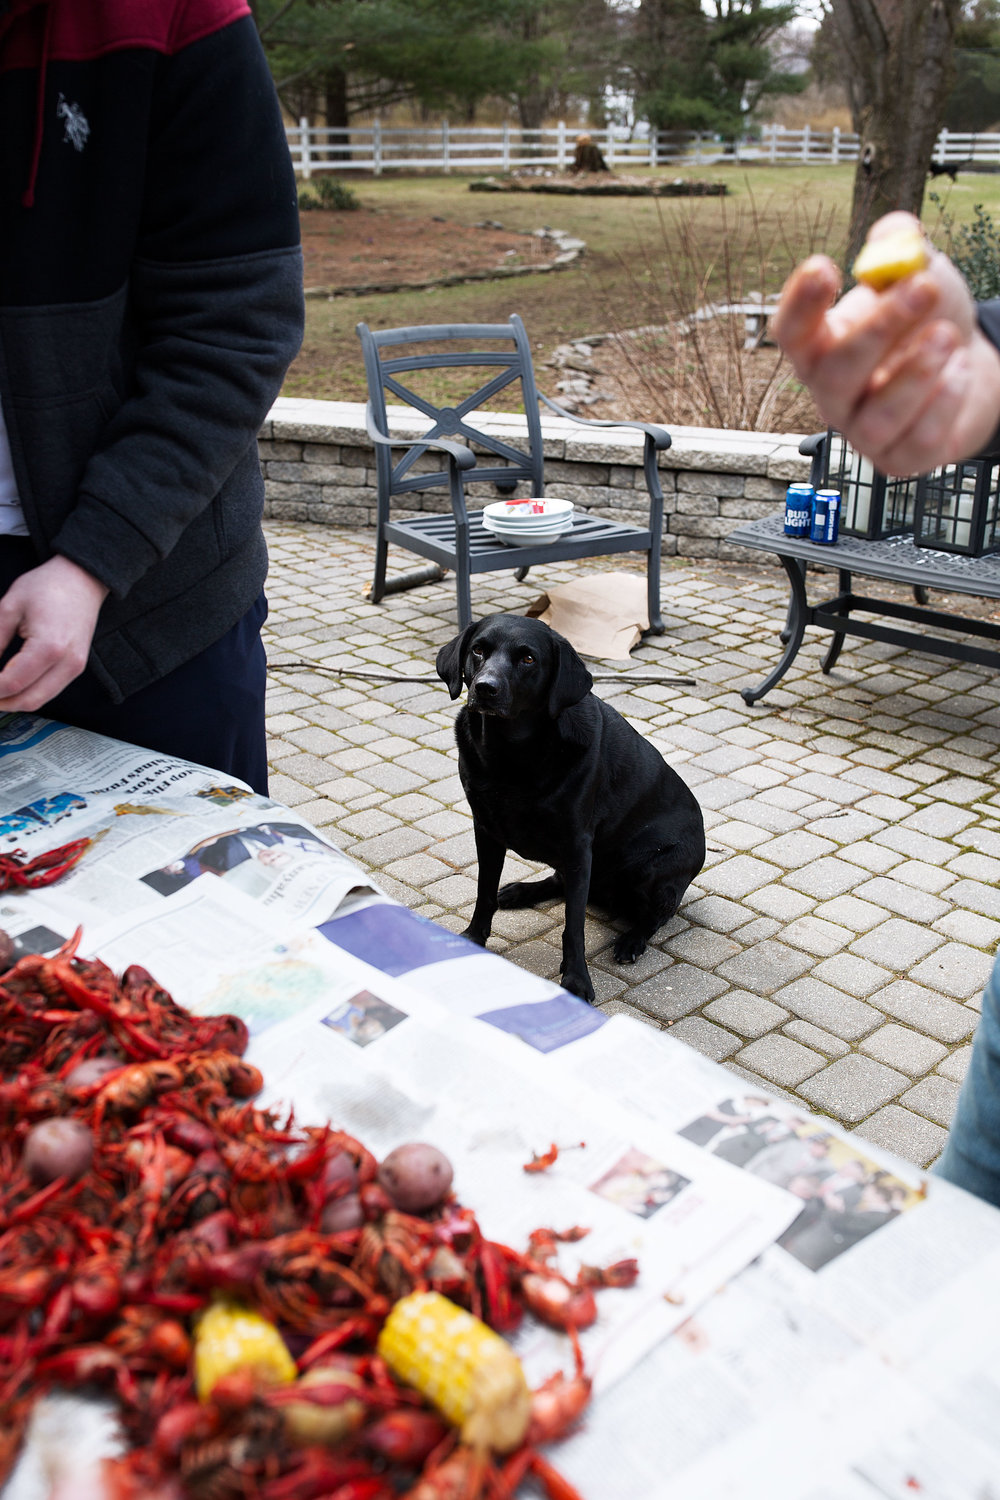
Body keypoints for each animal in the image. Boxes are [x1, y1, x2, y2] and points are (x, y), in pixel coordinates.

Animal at [434, 615, 707, 1002]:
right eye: (478, 650)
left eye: (528, 659)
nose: (485, 688)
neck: (511, 755)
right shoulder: (485, 830)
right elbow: (484, 894)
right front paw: (473, 940)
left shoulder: (578, 845)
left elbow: (573, 925)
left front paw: (577, 980)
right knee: (558, 881)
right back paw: (520, 891)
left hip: (652, 868)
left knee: (656, 916)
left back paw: (632, 941)